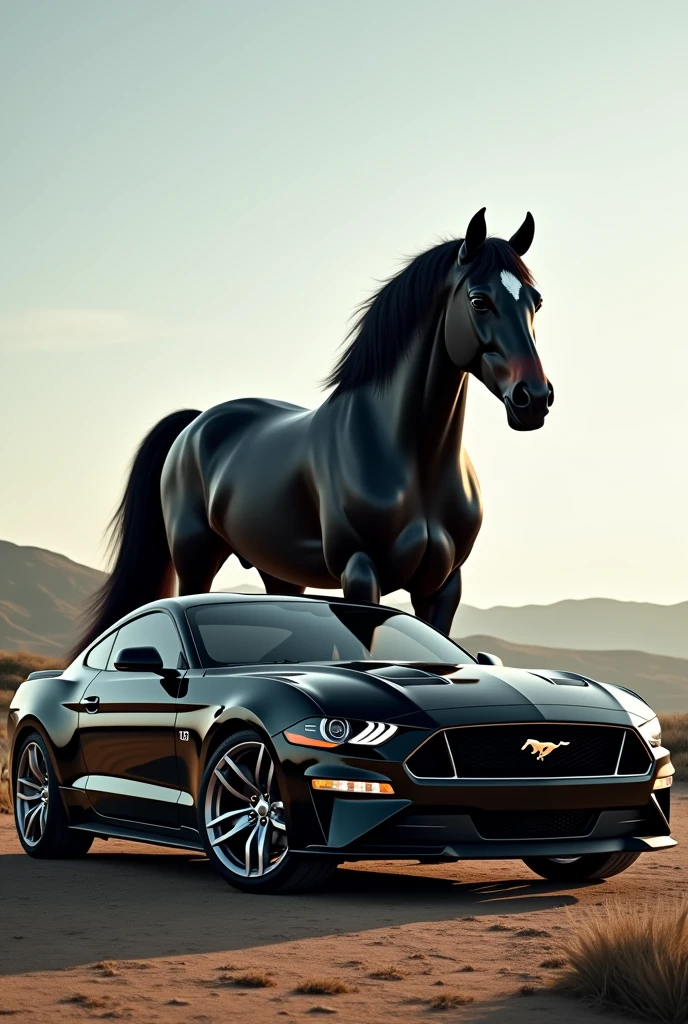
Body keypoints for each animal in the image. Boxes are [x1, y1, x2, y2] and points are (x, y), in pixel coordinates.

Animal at [73, 209, 552, 655]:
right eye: (479, 300)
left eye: (537, 301)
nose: (534, 398)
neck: (415, 462)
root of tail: (197, 422)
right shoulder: (360, 572)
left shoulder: (442, 584)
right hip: (195, 558)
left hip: (279, 571)